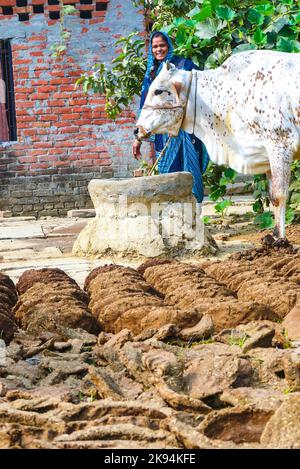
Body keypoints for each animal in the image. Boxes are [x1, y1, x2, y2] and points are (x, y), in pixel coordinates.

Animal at [137, 51, 300, 241]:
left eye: (158, 90)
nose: (137, 130)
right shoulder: (267, 154)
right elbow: (273, 197)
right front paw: (273, 236)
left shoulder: (280, 145)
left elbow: (280, 196)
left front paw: (281, 240)